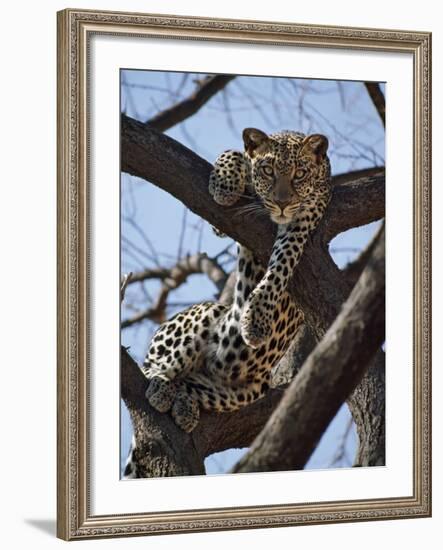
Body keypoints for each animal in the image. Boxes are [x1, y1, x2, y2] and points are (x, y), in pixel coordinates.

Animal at [123, 127, 332, 480]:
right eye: (268, 171)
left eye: (300, 174)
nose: (281, 202)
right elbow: (233, 152)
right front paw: (224, 184)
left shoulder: (304, 218)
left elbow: (281, 264)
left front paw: (257, 319)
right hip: (206, 314)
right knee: (154, 366)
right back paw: (162, 386)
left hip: (244, 390)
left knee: (191, 384)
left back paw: (182, 403)